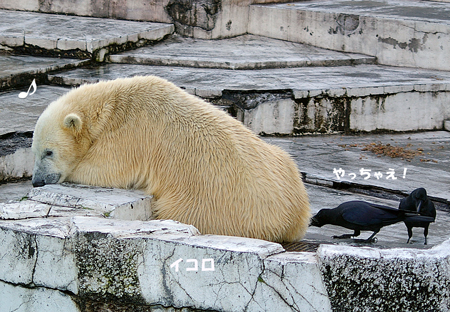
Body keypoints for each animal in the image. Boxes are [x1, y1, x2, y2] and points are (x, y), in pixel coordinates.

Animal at [31, 77, 312, 243]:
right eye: (35, 150)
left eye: (49, 152)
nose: (36, 181)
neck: (112, 103)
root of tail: (287, 216)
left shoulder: (130, 134)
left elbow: (104, 169)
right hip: (282, 163)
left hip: (204, 203)